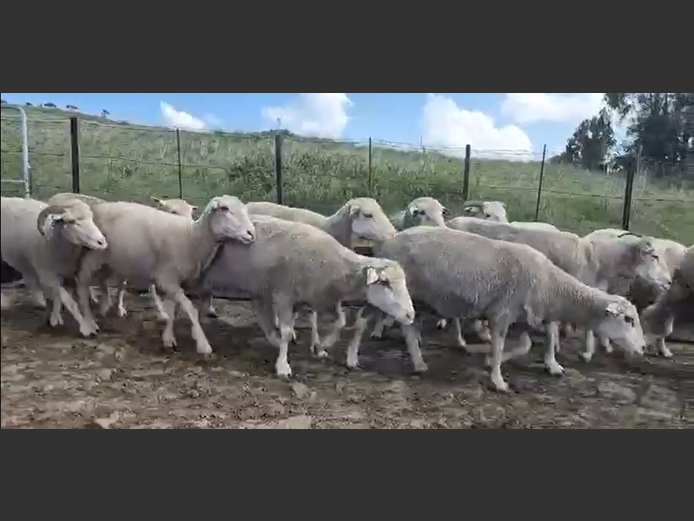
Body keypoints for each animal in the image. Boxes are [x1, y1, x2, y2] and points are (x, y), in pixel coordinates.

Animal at [1, 196, 108, 336]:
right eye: (72, 221)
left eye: (91, 217)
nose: (101, 242)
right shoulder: (48, 276)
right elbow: (69, 301)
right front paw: (86, 328)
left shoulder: (67, 273)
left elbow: (61, 297)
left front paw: (55, 319)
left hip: (23, 259)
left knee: (29, 277)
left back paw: (39, 302)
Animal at [73, 195, 256, 356]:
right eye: (224, 208)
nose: (251, 233)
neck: (191, 238)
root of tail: (99, 207)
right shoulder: (167, 279)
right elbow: (190, 308)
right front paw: (203, 344)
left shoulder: (175, 282)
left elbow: (173, 309)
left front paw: (168, 338)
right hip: (92, 255)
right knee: (81, 284)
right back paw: (88, 324)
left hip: (113, 261)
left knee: (104, 281)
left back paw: (108, 307)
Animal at [197, 215, 415, 377]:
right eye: (385, 283)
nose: (410, 315)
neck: (333, 265)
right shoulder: (284, 295)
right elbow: (287, 331)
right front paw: (283, 366)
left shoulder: (316, 297)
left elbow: (340, 321)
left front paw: (323, 346)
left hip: (258, 285)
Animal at [367, 226, 646, 392]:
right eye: (629, 320)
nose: (643, 348)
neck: (551, 285)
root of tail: (388, 242)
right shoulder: (501, 313)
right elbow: (500, 345)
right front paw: (498, 379)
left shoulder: (526, 316)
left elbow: (530, 344)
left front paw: (551, 365)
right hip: (410, 295)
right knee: (408, 328)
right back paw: (417, 361)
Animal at [446, 216, 670, 362]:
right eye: (654, 256)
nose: (668, 282)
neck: (594, 258)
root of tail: (451, 221)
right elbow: (556, 328)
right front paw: (560, 356)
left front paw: (585, 351)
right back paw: (461, 339)